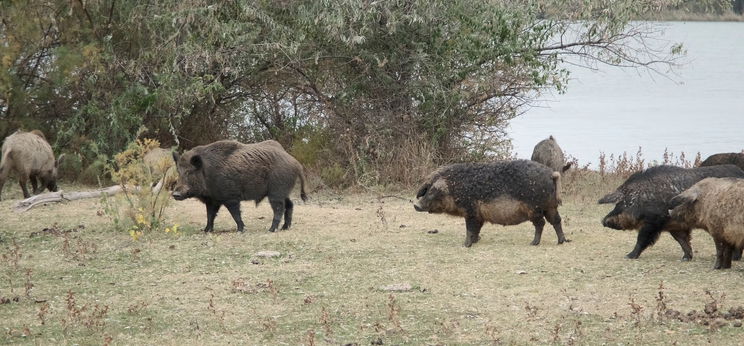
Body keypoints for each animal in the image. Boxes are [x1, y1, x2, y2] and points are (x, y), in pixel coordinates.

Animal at [171, 140, 306, 232]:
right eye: (178, 171)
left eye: (189, 172)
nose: (175, 194)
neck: (208, 173)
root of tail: (296, 163)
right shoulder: (212, 200)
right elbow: (210, 215)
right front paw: (206, 230)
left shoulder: (230, 197)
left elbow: (235, 214)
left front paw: (240, 230)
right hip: (284, 191)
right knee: (290, 204)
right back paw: (285, 228)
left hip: (276, 192)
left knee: (279, 208)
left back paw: (271, 230)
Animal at [412, 161, 568, 247]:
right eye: (426, 190)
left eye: (433, 191)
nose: (416, 205)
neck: (454, 188)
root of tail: (551, 174)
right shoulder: (479, 215)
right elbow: (477, 229)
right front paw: (476, 241)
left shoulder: (470, 211)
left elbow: (469, 228)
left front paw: (465, 245)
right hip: (550, 206)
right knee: (556, 220)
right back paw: (561, 241)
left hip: (534, 208)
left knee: (541, 223)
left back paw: (533, 243)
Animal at [600, 164, 744, 260]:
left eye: (625, 203)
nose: (603, 220)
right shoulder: (675, 226)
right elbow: (682, 240)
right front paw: (686, 258)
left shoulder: (652, 222)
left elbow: (642, 239)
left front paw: (628, 256)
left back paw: (734, 259)